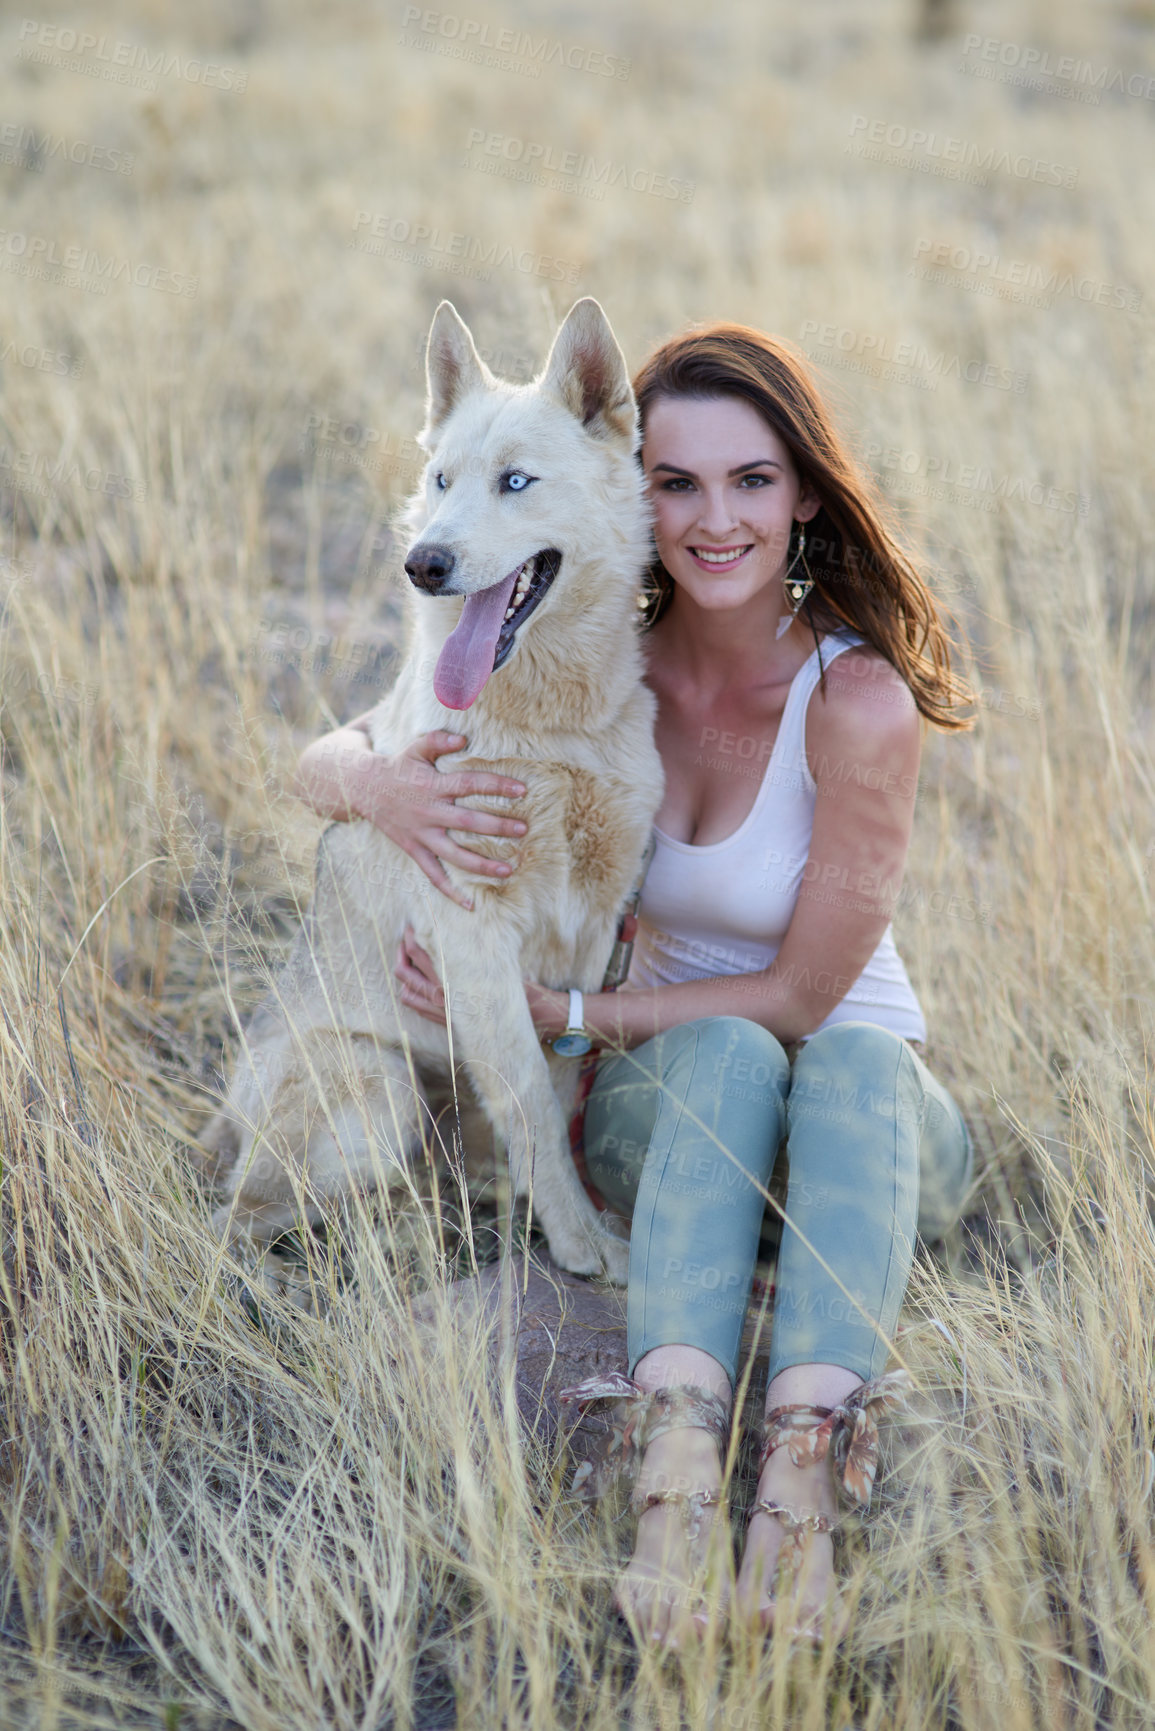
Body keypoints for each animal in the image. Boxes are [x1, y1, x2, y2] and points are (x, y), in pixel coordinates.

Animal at [200, 290, 664, 1280]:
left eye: (516, 481)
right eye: (443, 480)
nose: (424, 562)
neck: (552, 726)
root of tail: (223, 1120)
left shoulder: (592, 927)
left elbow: (551, 1078)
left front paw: (564, 1220)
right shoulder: (472, 933)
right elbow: (531, 1098)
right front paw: (582, 1245)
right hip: (379, 1091)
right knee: (246, 1214)